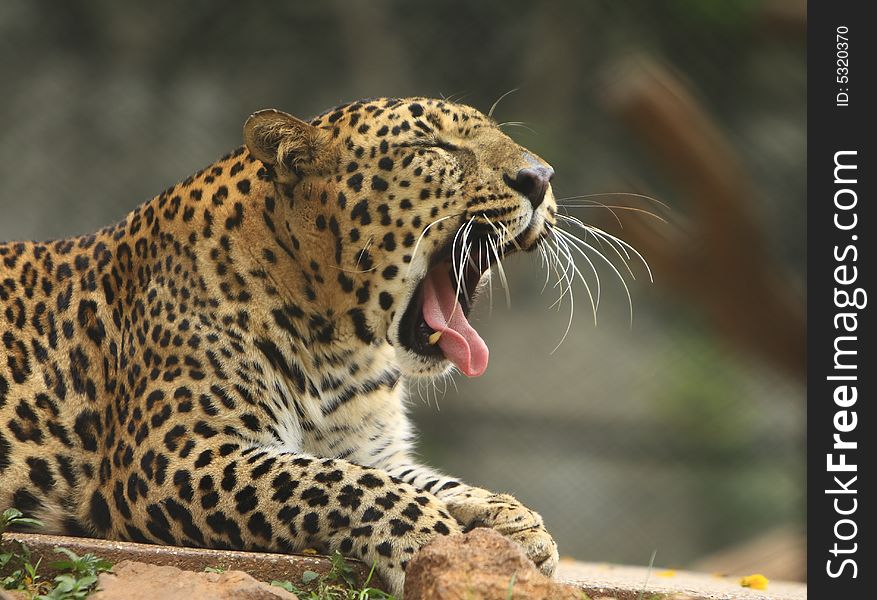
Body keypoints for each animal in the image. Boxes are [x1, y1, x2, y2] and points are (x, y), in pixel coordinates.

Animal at [0, 98, 556, 596]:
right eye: (432, 146)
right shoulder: (169, 456)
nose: (542, 177)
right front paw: (431, 539)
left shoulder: (366, 448)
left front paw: (518, 523)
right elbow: (339, 482)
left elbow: (422, 479)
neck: (342, 346)